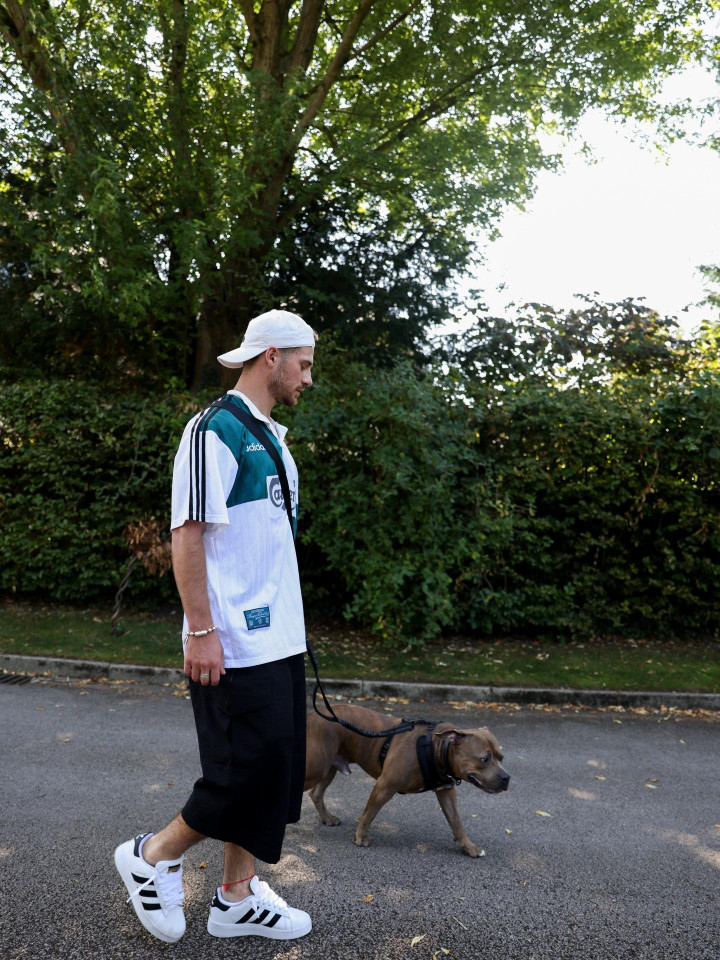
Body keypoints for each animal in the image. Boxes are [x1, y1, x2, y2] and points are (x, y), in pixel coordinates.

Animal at [304, 703, 509, 857]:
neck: (436, 747)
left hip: (329, 768)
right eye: (484, 759)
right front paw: (361, 837)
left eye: (501, 757)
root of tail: (313, 715)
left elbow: (456, 822)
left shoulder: (446, 792)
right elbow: (369, 813)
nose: (507, 778)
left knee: (316, 793)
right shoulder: (385, 786)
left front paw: (468, 847)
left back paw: (326, 818)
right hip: (317, 768)